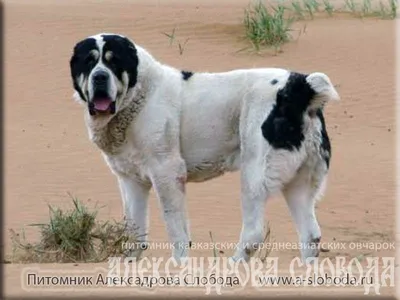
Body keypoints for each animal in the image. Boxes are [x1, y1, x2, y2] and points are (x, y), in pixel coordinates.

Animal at [69, 32, 340, 262]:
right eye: (88, 62)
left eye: (114, 62)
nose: (99, 77)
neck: (139, 96)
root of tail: (300, 86)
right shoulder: (131, 180)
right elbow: (134, 233)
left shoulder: (167, 174)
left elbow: (176, 232)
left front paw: (179, 268)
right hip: (299, 181)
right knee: (310, 234)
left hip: (255, 172)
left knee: (253, 233)